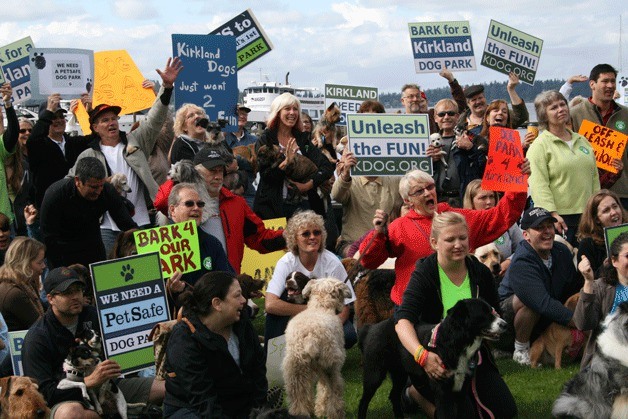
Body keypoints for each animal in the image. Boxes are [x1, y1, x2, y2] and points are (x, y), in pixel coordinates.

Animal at [282, 278, 350, 419]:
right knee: (334, 389)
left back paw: (301, 413)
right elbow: (323, 389)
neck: (321, 306)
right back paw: (336, 413)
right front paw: (321, 410)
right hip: (330, 366)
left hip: (295, 369)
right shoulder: (325, 366)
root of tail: (310, 336)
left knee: (298, 396)